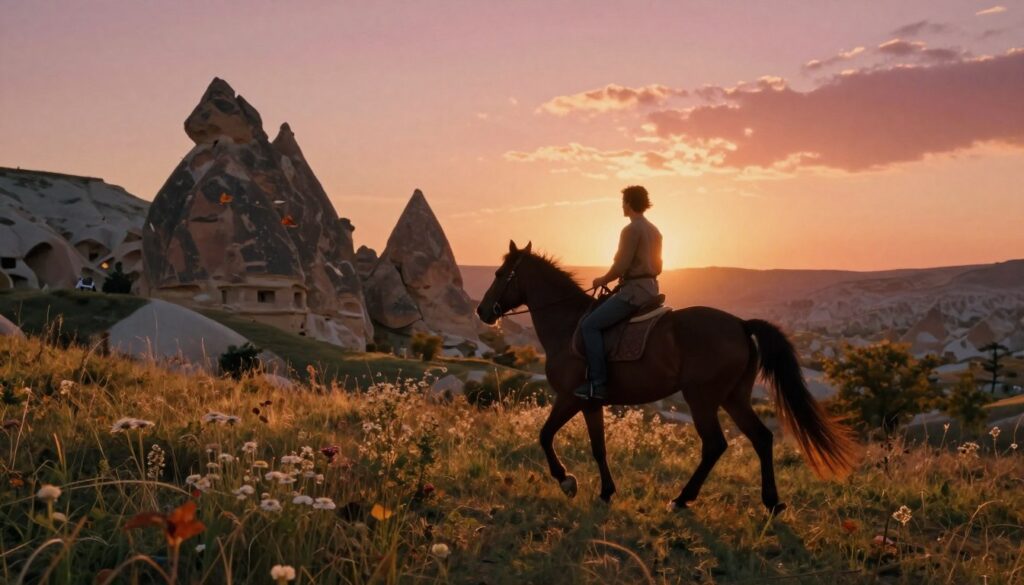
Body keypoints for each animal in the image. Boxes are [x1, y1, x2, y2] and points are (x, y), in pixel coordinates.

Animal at [475, 241, 858, 514]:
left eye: (499, 273)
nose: (482, 311)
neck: (568, 324)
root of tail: (739, 323)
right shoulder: (590, 402)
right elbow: (597, 447)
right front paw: (604, 491)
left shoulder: (572, 397)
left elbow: (546, 436)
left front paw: (568, 481)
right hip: (733, 397)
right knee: (761, 438)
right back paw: (772, 503)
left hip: (702, 398)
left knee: (715, 444)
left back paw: (682, 499)